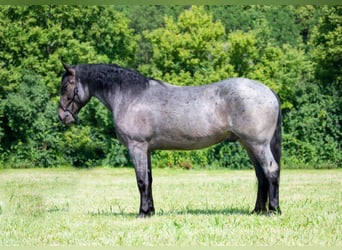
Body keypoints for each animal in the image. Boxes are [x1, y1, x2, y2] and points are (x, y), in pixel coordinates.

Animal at [58, 62, 282, 217]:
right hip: (249, 145)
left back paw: (273, 210)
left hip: (258, 145)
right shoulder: (146, 149)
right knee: (261, 176)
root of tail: (269, 91)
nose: (62, 117)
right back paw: (257, 210)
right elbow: (149, 179)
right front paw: (150, 211)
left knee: (271, 171)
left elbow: (141, 180)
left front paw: (142, 213)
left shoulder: (137, 146)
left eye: (67, 84)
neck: (130, 96)